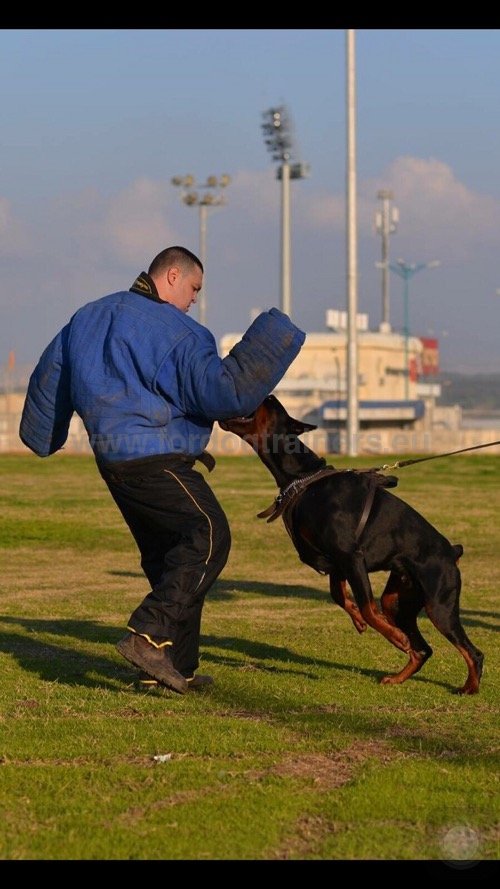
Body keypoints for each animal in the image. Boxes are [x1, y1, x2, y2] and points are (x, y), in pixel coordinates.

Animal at [219, 394, 484, 692]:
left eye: (271, 405)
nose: (270, 394)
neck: (302, 479)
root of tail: (452, 552)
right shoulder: (337, 563)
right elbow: (339, 596)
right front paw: (357, 617)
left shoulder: (350, 556)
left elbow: (368, 607)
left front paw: (393, 637)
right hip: (397, 600)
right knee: (423, 648)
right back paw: (398, 676)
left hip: (439, 604)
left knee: (472, 652)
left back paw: (468, 686)